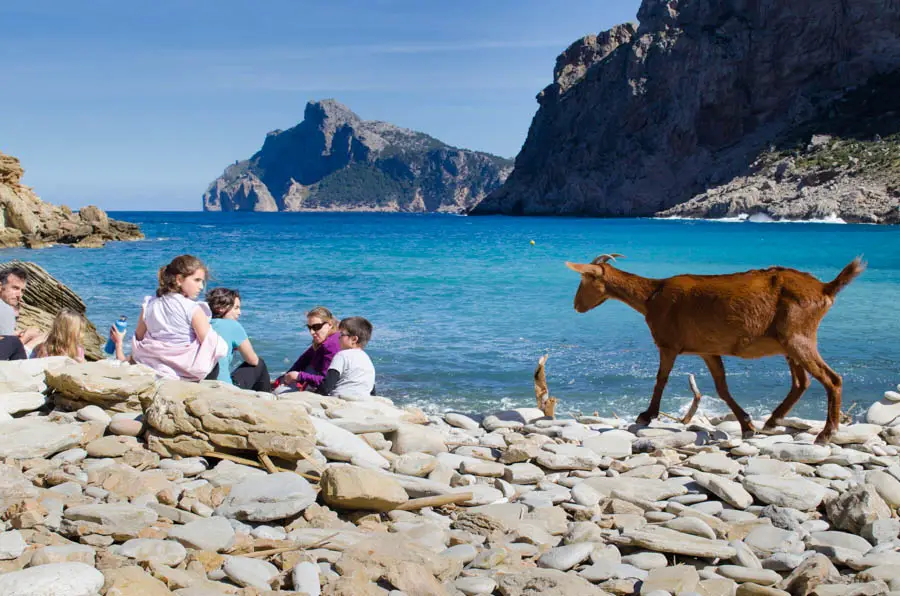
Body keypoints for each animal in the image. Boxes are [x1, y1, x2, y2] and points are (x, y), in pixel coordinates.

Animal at [568, 254, 864, 444]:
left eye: (584, 280)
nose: (576, 306)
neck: (651, 296)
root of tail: (825, 288)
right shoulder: (707, 350)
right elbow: (722, 387)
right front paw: (747, 425)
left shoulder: (669, 344)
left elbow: (661, 379)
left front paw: (646, 416)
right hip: (788, 343)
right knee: (801, 382)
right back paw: (772, 421)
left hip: (798, 336)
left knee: (832, 379)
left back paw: (826, 434)